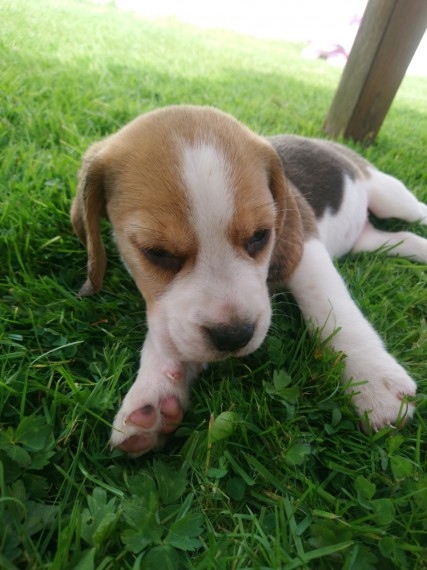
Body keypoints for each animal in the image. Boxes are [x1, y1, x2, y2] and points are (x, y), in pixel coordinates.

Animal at [72, 104, 427, 454]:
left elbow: (331, 309)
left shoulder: (304, 244)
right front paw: (152, 394)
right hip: (370, 240)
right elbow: (166, 334)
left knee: (416, 212)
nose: (233, 337)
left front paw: (374, 380)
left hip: (392, 197)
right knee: (403, 238)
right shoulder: (168, 315)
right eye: (156, 252)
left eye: (260, 236)